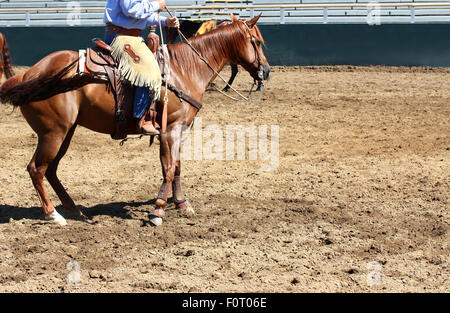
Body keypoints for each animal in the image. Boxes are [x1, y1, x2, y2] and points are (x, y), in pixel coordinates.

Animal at [0, 14, 268, 224]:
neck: (184, 70)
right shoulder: (171, 130)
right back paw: (53, 215)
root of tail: (29, 74)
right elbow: (169, 167)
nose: (266, 71)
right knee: (37, 169)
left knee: (51, 169)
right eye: (256, 41)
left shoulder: (177, 130)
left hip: (66, 131)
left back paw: (74, 210)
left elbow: (176, 166)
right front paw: (158, 211)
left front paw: (181, 203)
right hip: (53, 132)